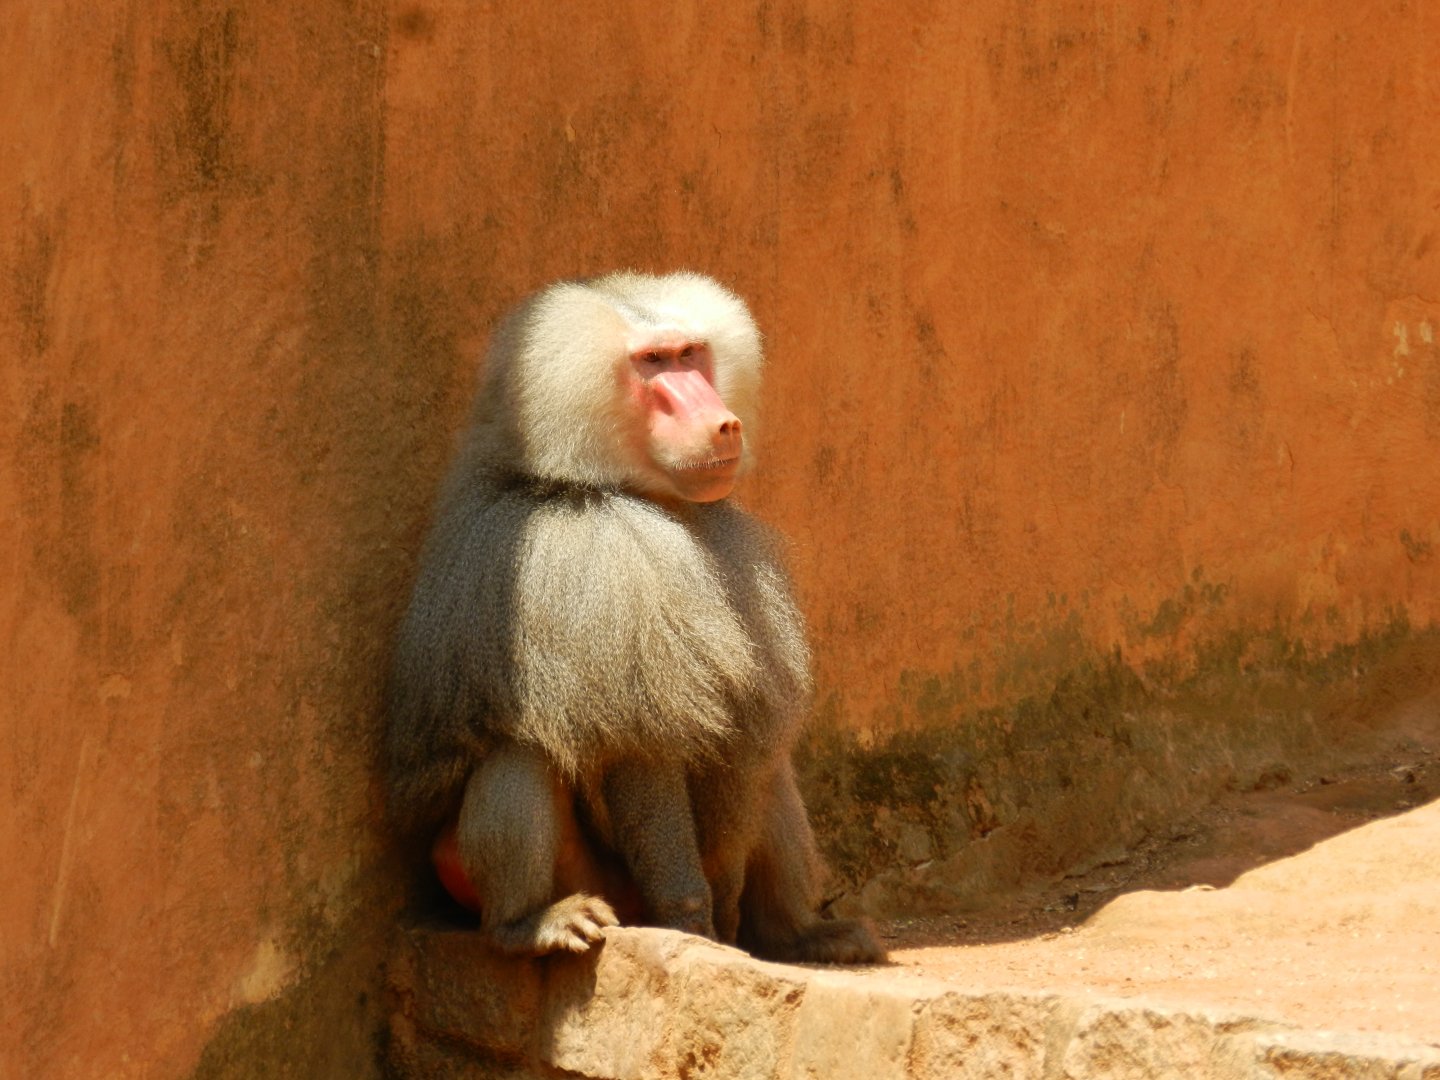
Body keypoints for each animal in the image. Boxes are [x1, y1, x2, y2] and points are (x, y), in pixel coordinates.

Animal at [385, 271, 884, 965]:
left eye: (690, 354)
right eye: (650, 363)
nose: (723, 424)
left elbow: (750, 736)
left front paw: (743, 920)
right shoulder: (595, 565)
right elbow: (639, 744)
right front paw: (698, 930)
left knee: (771, 765)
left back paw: (802, 934)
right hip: (574, 881)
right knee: (521, 756)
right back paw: (533, 922)